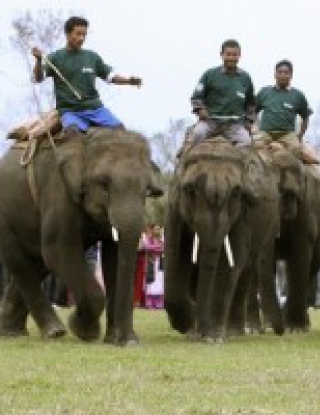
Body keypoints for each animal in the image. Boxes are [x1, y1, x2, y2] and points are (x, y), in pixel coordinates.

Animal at [0, 128, 161, 346]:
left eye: (146, 190)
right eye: (104, 185)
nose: (128, 341)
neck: (86, 144)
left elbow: (114, 256)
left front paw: (116, 340)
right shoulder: (59, 193)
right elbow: (59, 251)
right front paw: (86, 331)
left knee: (37, 262)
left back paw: (12, 331)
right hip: (5, 217)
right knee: (21, 263)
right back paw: (54, 331)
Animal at [164, 138, 284, 342]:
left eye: (236, 192)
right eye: (190, 190)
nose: (199, 335)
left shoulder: (244, 212)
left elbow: (232, 259)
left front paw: (212, 338)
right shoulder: (174, 207)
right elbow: (175, 253)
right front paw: (189, 327)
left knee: (245, 268)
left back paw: (232, 333)